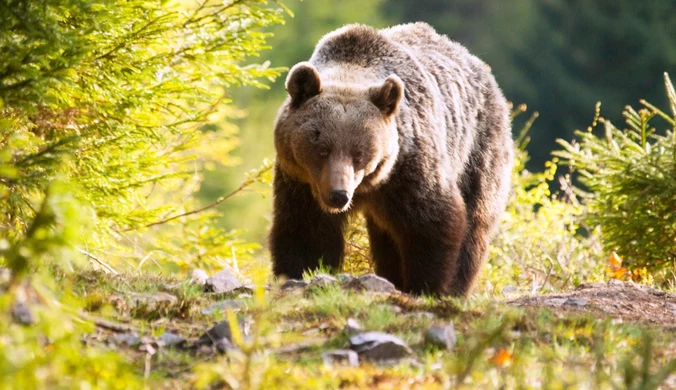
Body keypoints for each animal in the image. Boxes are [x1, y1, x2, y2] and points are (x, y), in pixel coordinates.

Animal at [270, 22, 512, 296]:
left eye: (359, 153)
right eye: (321, 148)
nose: (338, 195)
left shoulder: (408, 168)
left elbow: (431, 223)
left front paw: (428, 286)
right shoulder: (300, 180)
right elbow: (306, 231)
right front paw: (299, 272)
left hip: (477, 151)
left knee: (475, 224)